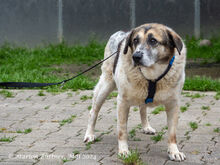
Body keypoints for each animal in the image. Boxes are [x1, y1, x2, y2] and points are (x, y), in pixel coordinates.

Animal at [83, 22, 186, 161]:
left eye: (153, 41)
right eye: (135, 40)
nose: (136, 56)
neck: (152, 76)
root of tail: (120, 33)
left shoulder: (173, 104)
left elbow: (172, 133)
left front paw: (174, 151)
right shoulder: (122, 102)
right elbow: (122, 130)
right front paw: (123, 151)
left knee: (143, 108)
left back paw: (146, 127)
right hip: (105, 86)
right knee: (93, 111)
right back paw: (89, 134)